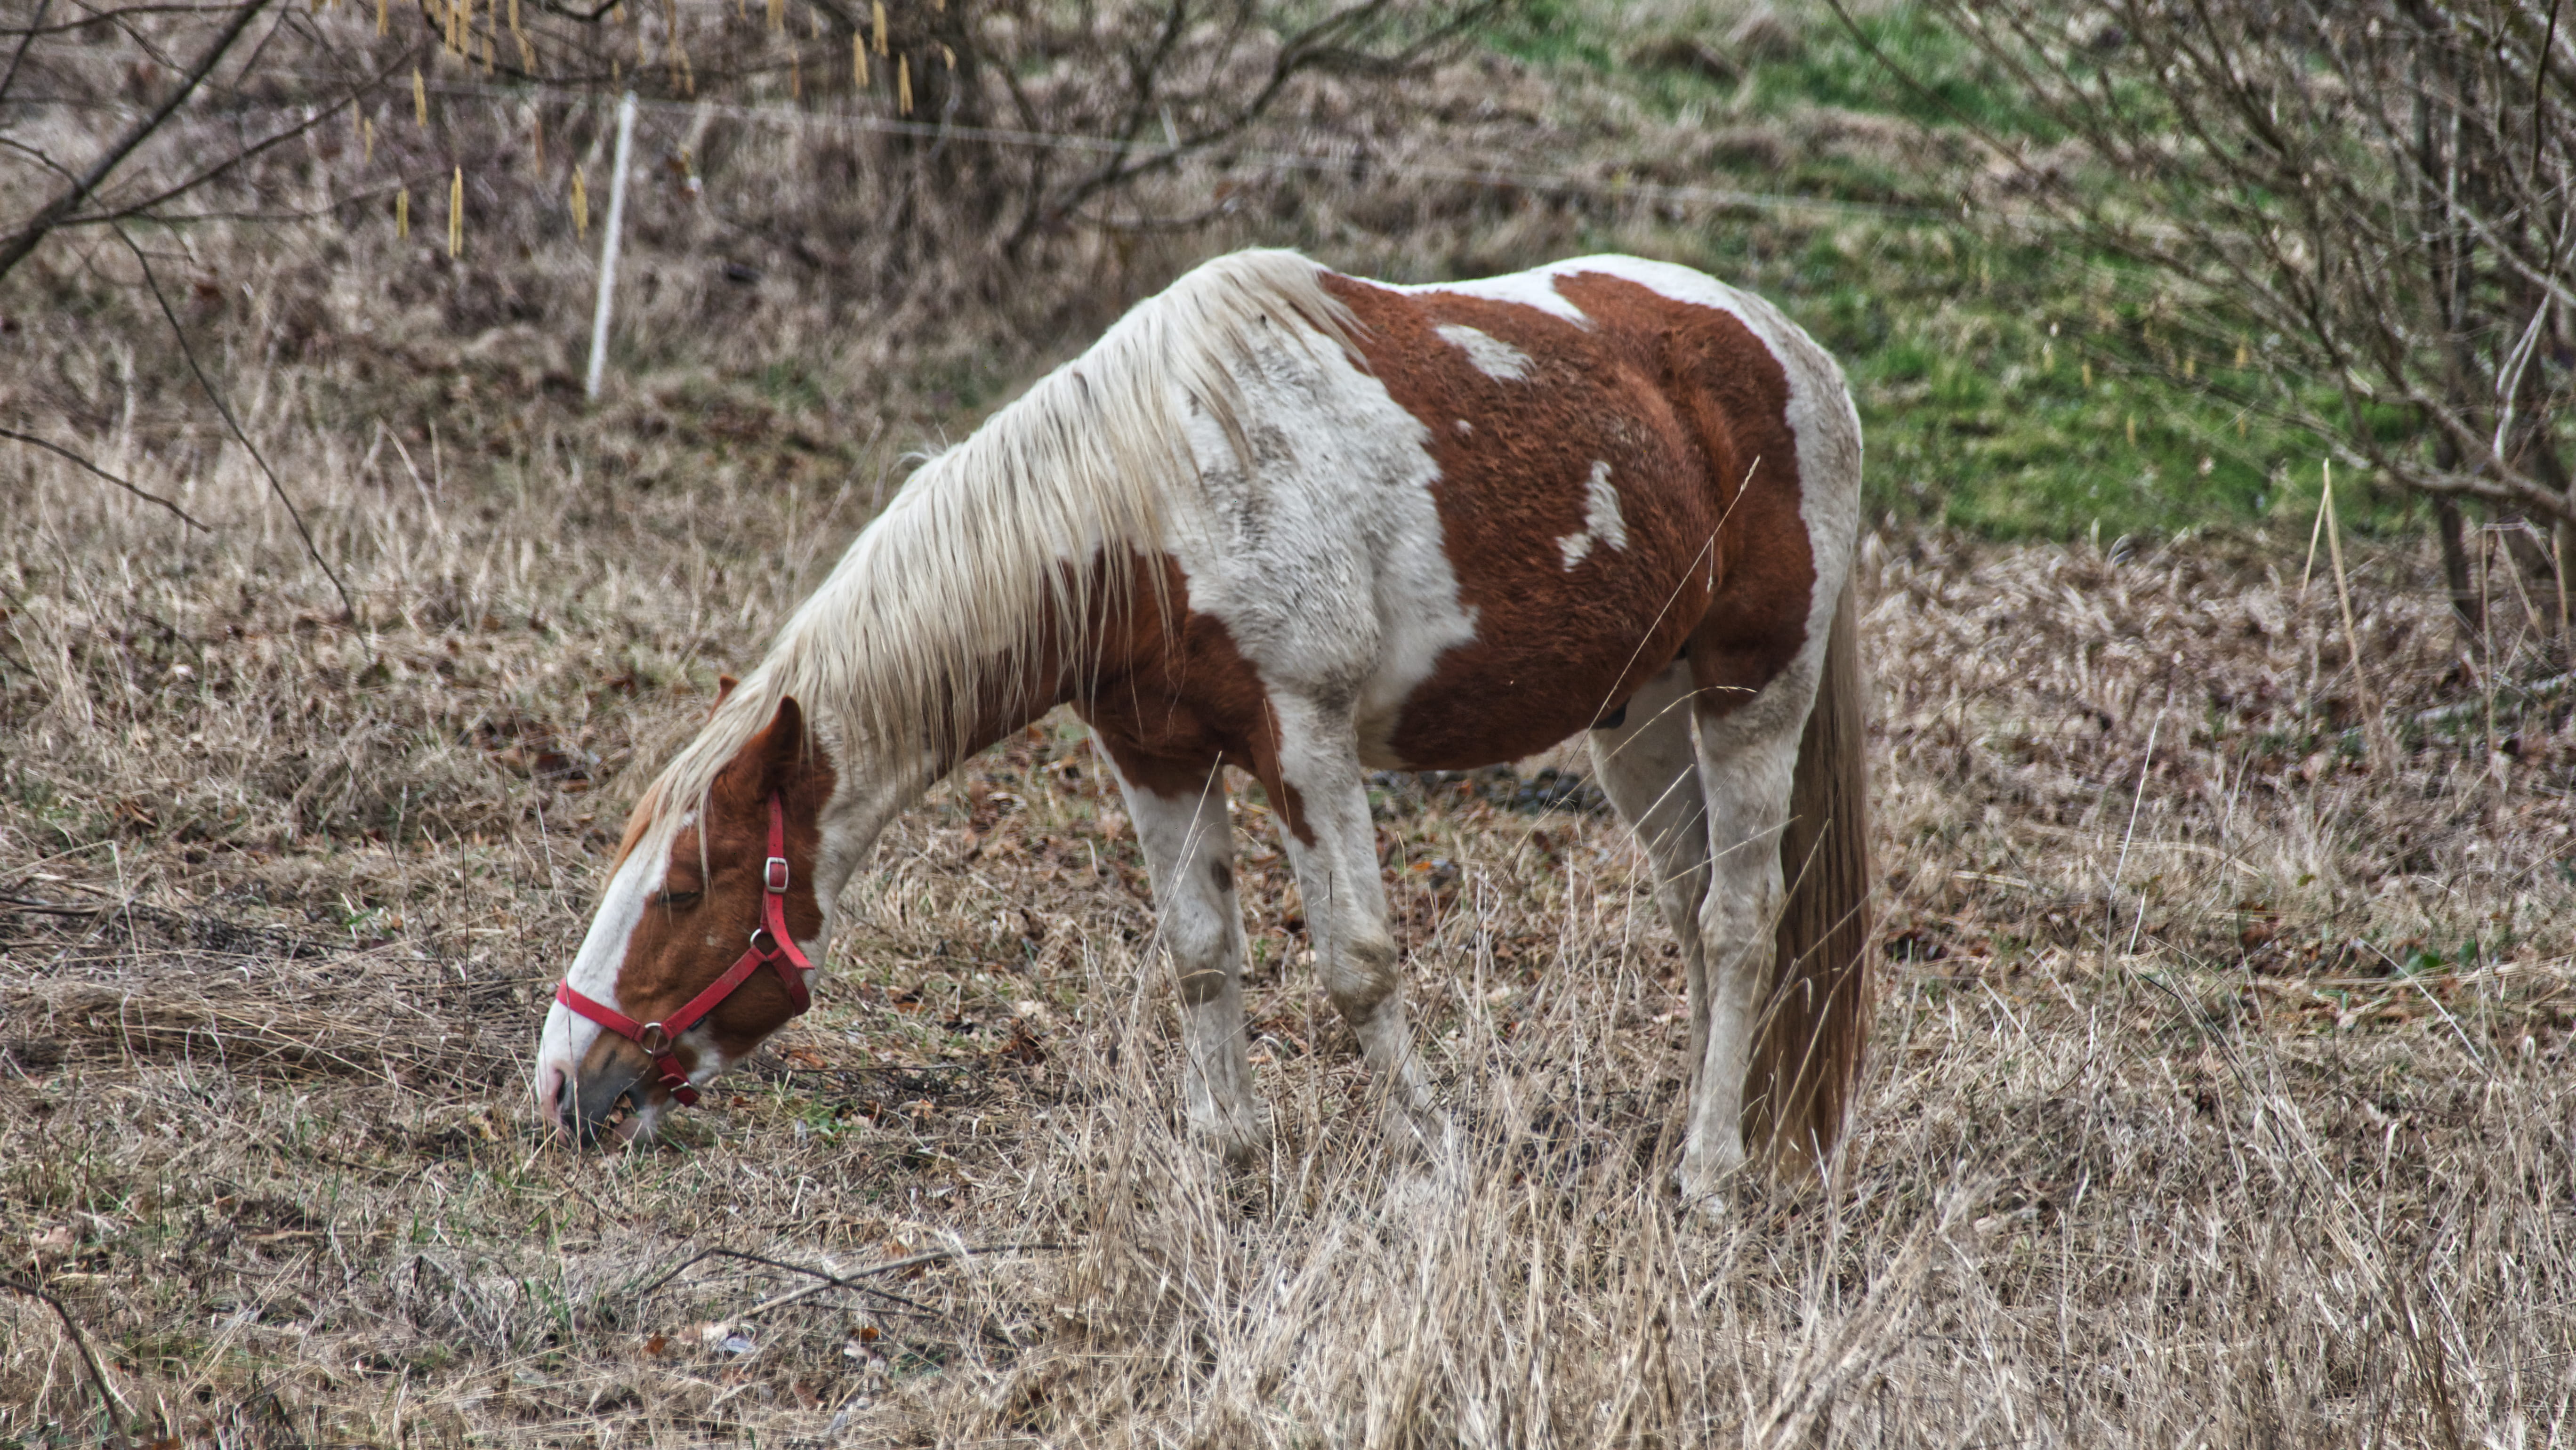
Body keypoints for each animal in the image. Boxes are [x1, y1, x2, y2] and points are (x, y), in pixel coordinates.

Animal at [533, 248, 1871, 1207]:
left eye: (684, 890)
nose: (559, 1081)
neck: (1143, 511)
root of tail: (1793, 349)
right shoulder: (1158, 757)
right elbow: (1200, 957)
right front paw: (1226, 1162)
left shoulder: (1306, 744)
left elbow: (1356, 964)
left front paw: (1432, 1167)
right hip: (1639, 723)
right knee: (1696, 917)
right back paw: (1707, 1133)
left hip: (1752, 696)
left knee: (1741, 924)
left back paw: (1710, 1174)